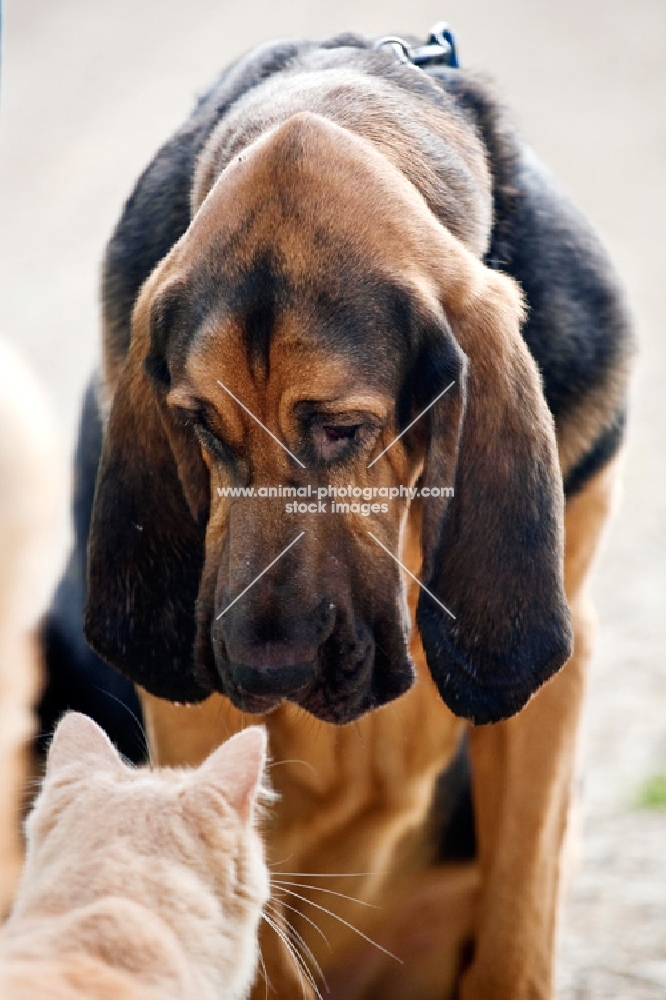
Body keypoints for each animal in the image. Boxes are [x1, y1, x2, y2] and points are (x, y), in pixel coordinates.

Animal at [74, 31, 632, 1000]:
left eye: (343, 428)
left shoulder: (550, 695)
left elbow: (517, 933)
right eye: (200, 426)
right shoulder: (197, 722)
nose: (266, 665)